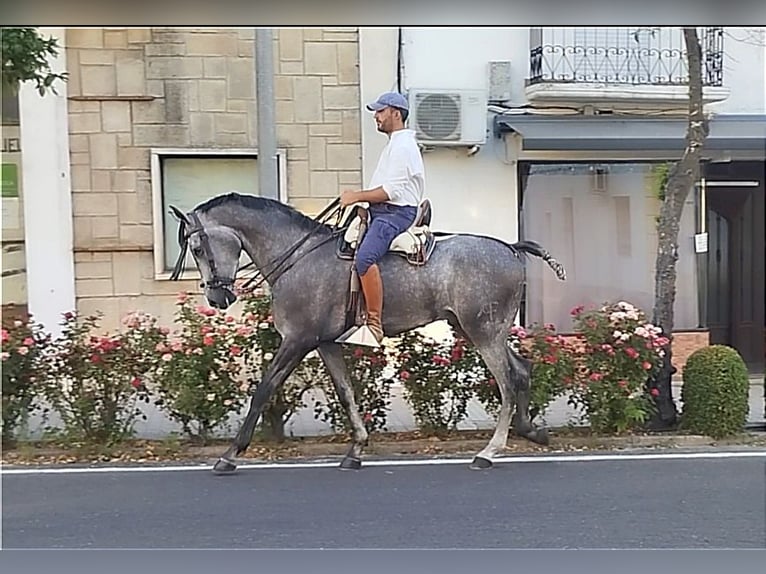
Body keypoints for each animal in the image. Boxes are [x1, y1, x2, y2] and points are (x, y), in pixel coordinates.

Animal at [172, 191, 568, 474]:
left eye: (197, 248)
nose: (217, 297)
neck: (299, 256)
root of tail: (511, 248)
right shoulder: (325, 344)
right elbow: (346, 394)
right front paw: (356, 448)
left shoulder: (297, 340)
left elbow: (263, 391)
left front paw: (230, 453)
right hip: (480, 330)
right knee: (522, 370)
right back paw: (531, 430)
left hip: (483, 331)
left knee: (507, 382)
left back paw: (490, 451)